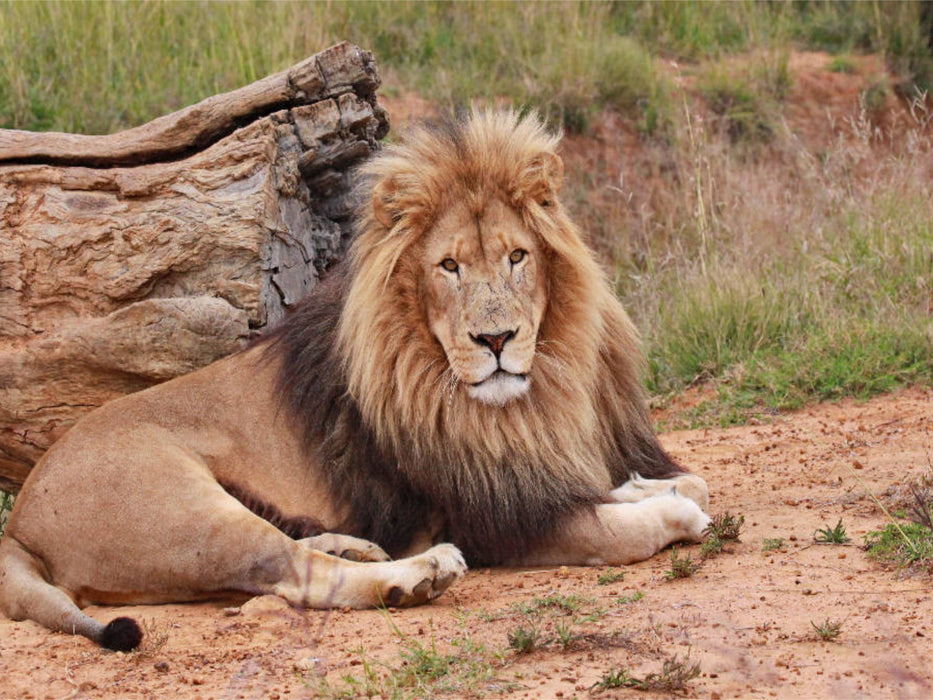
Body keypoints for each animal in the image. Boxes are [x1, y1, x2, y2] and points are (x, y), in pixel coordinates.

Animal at [0, 110, 709, 651]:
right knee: (294, 573)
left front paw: (648, 484)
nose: (496, 341)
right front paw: (672, 511)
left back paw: (365, 549)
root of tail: (19, 520)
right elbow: (626, 529)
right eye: (448, 266)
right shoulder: (496, 519)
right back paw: (416, 572)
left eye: (517, 257)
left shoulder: (528, 472)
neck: (510, 406)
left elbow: (663, 482)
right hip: (183, 511)